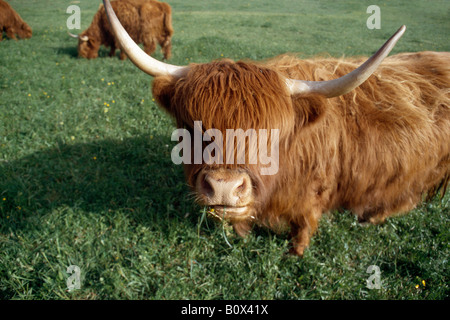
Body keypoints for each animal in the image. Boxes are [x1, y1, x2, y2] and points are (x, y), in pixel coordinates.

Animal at [102, 0, 450, 255]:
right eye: (192, 127)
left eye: (270, 135)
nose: (225, 187)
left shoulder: (313, 194)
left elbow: (303, 226)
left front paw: (295, 252)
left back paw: (371, 217)